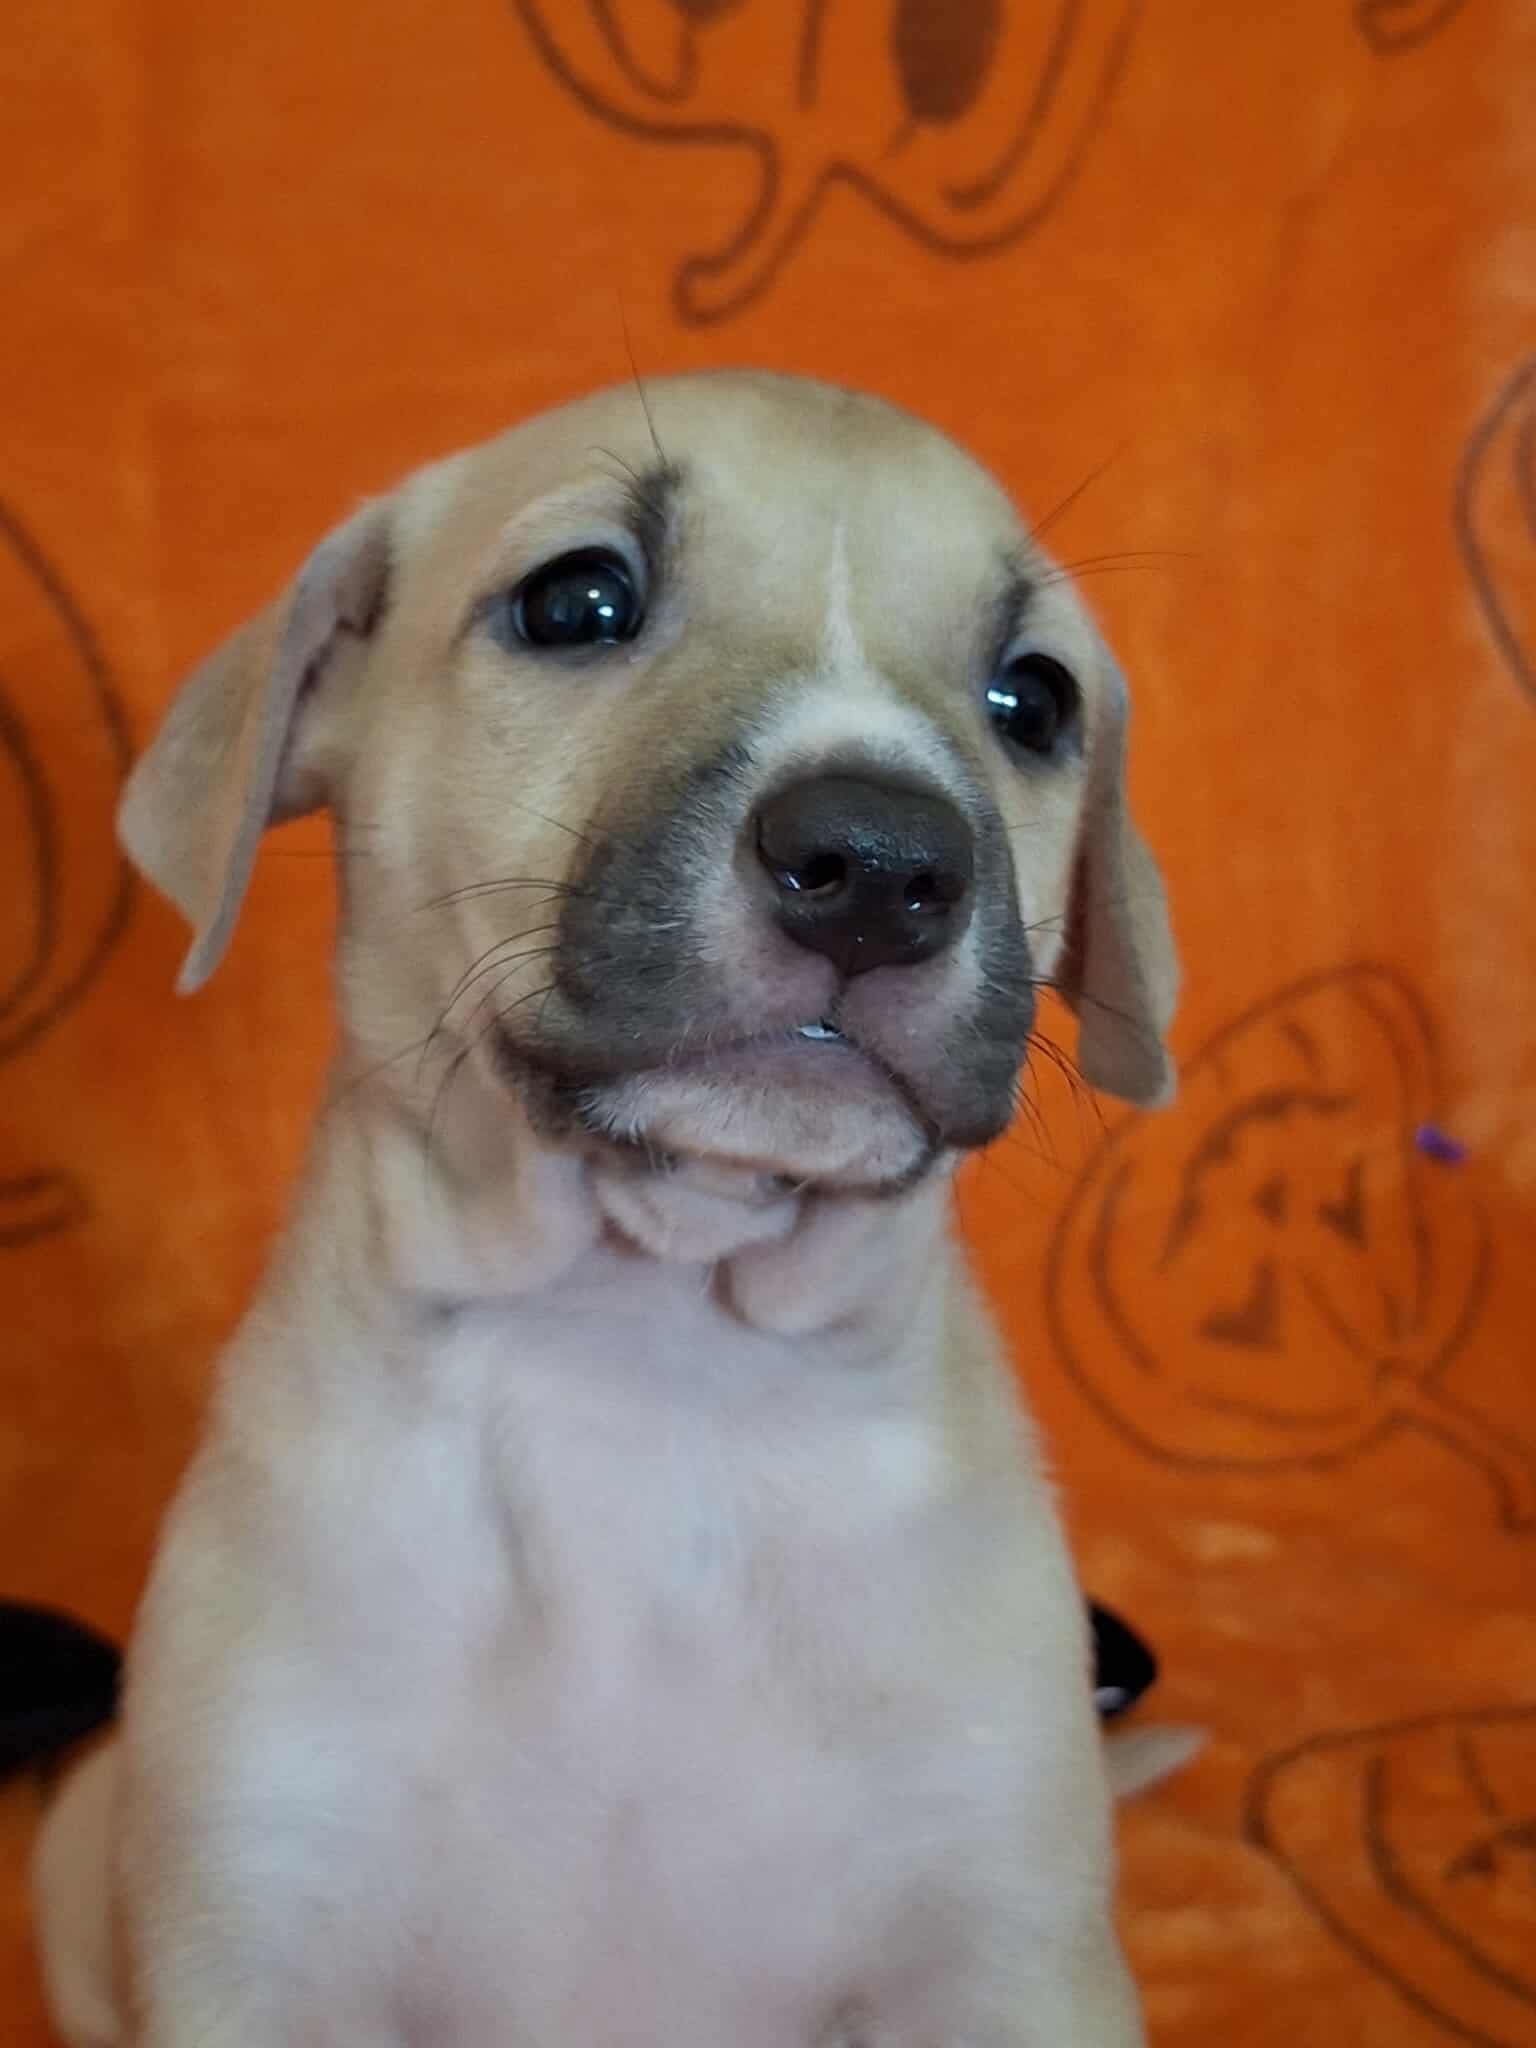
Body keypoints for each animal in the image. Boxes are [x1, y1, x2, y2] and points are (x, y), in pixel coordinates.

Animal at [33, 371, 1185, 2046]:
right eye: (577, 601)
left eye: (1033, 699)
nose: (880, 865)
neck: (642, 1366)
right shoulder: (255, 1944)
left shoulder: (1011, 1964)